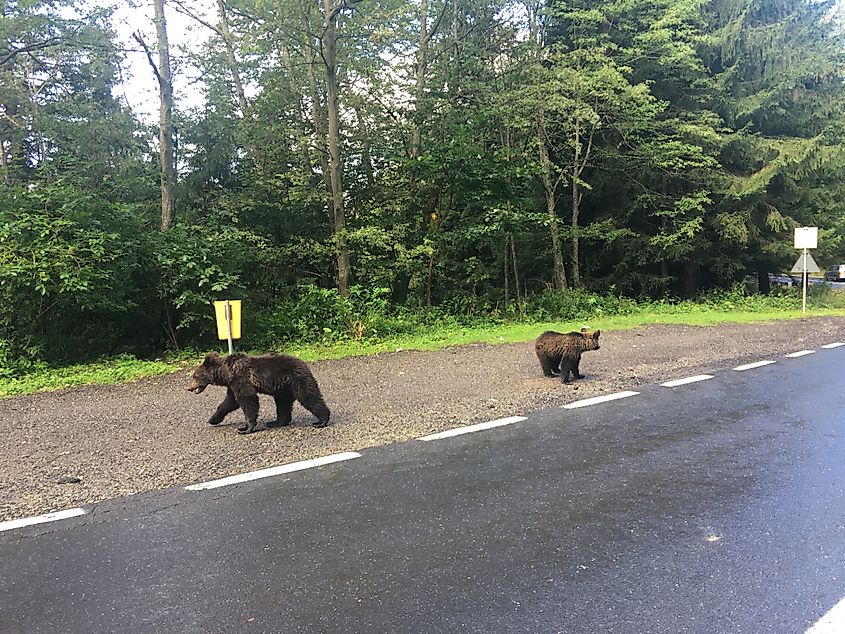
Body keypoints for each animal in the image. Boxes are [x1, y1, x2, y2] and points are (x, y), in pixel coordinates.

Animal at [187, 352, 330, 434]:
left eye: (195, 376)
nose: (189, 388)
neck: (226, 373)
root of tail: (304, 364)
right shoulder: (232, 385)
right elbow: (229, 402)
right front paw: (213, 419)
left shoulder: (241, 379)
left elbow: (248, 400)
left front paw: (245, 428)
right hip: (283, 388)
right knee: (283, 404)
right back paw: (276, 422)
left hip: (297, 380)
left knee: (309, 396)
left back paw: (321, 421)